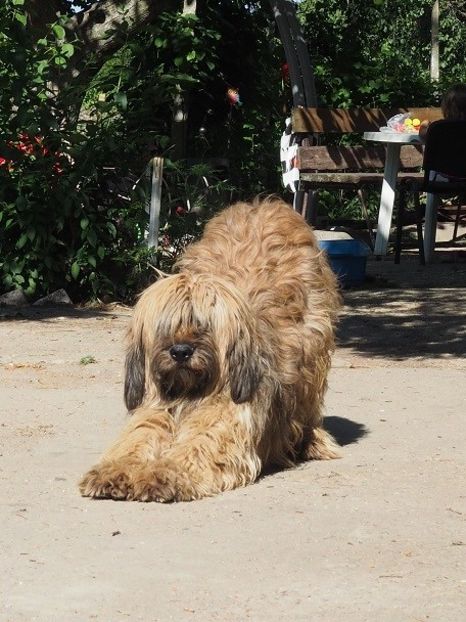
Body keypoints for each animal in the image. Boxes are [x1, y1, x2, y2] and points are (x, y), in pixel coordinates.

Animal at [79, 197, 342, 504]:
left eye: (204, 326)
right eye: (167, 326)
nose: (181, 352)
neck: (189, 394)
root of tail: (265, 203)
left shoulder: (225, 420)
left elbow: (198, 448)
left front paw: (163, 473)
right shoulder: (155, 411)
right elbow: (137, 437)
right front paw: (114, 470)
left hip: (314, 348)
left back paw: (311, 440)